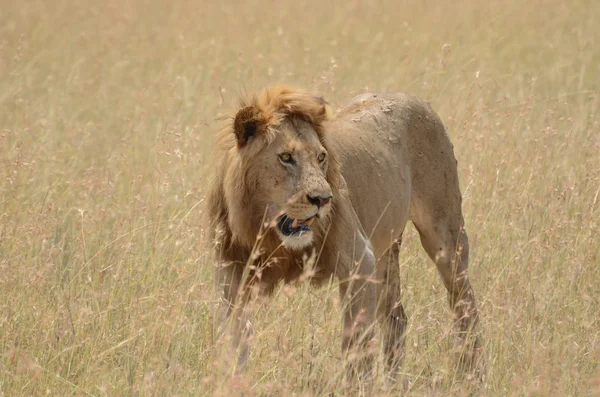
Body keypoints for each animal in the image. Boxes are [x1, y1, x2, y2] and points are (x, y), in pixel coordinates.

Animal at [206, 85, 482, 378]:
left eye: (321, 157)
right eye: (286, 157)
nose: (323, 199)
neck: (269, 234)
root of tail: (410, 96)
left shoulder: (359, 261)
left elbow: (356, 348)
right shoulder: (232, 276)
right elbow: (232, 346)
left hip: (446, 241)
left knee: (465, 306)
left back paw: (471, 375)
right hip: (385, 252)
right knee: (396, 318)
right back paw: (394, 383)